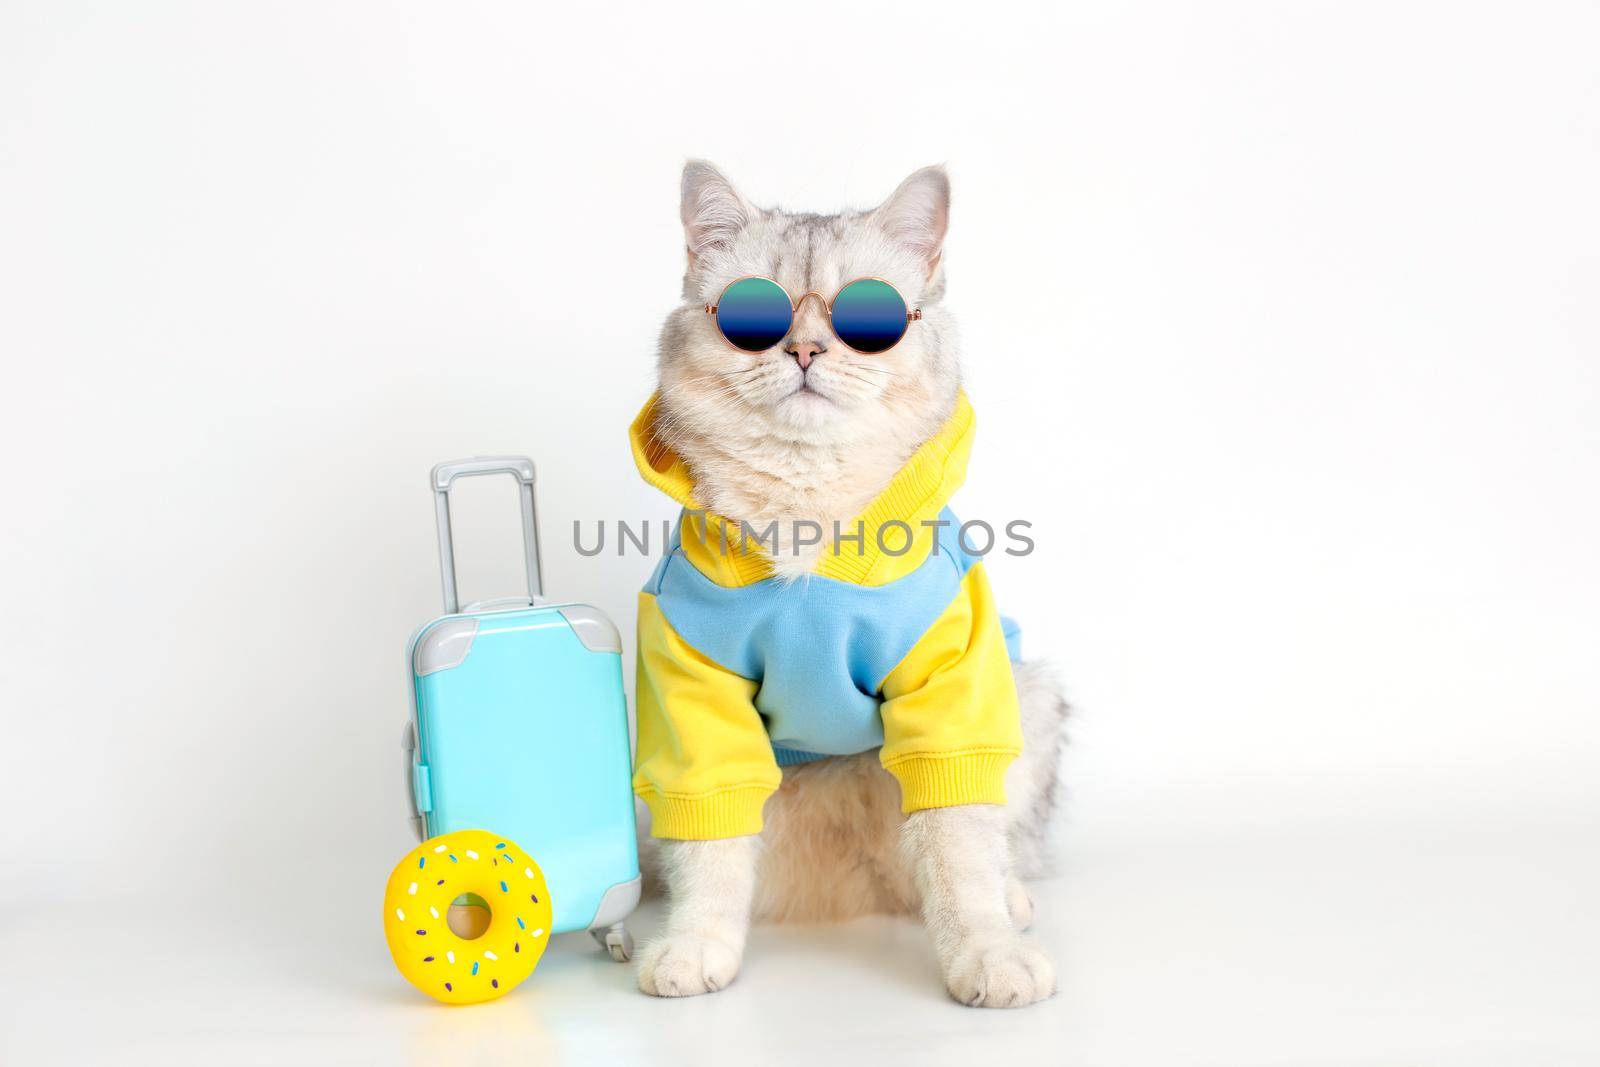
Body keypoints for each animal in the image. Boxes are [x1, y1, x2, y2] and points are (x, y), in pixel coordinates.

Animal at [633, 160, 1062, 1011]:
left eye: (869, 313)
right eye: (751, 312)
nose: (803, 348)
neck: (806, 514)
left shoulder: (953, 696)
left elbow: (961, 850)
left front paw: (987, 951)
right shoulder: (693, 705)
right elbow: (708, 849)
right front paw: (693, 944)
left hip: (1027, 694)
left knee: (976, 847)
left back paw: (1009, 901)